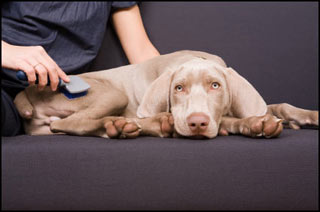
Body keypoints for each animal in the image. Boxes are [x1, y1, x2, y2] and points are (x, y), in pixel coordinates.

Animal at [13, 50, 318, 139]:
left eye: (215, 86)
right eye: (178, 88)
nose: (197, 123)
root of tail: (29, 90)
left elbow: (278, 105)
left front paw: (308, 116)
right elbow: (231, 121)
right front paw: (255, 124)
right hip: (112, 94)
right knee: (69, 123)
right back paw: (121, 125)